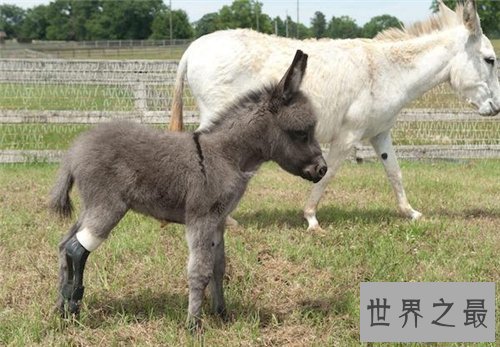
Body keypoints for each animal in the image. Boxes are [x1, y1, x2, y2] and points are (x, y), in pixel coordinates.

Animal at [50, 50, 328, 330]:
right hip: (109, 206)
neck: (227, 155)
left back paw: (61, 308)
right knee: (77, 249)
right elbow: (200, 271)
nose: (322, 170)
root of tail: (74, 151)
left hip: (91, 206)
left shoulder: (218, 221)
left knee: (64, 245)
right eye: (301, 133)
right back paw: (73, 305)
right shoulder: (201, 218)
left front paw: (222, 313)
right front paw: (193, 324)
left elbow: (218, 267)